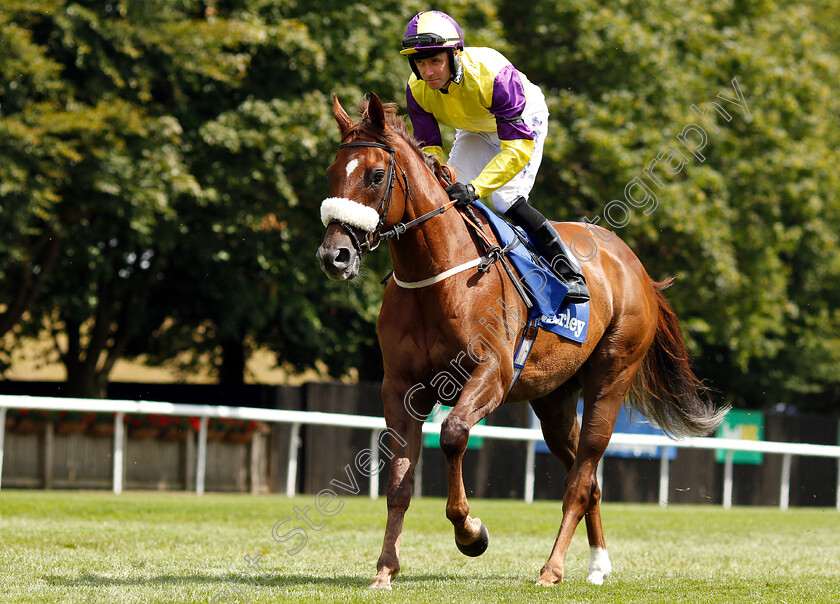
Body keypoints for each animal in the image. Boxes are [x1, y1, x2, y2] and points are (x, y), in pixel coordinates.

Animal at [318, 94, 724, 588]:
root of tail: (636, 269)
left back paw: (552, 569)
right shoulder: (400, 387)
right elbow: (398, 479)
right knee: (588, 480)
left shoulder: (492, 374)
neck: (440, 275)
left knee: (581, 477)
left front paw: (471, 532)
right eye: (332, 172)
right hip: (554, 399)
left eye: (376, 175)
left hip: (611, 378)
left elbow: (453, 435)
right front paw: (385, 569)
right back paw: (597, 564)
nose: (334, 255)